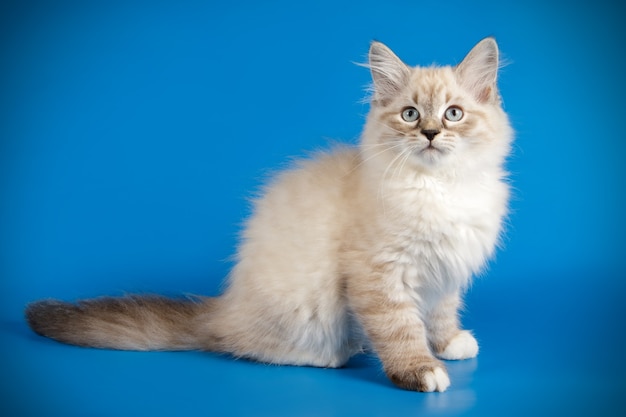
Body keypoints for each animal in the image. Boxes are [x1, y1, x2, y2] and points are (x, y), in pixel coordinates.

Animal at [25, 37, 512, 392]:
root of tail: (223, 307)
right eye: (410, 115)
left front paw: (449, 344)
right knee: (246, 346)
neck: (439, 188)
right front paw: (420, 369)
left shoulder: (445, 273)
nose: (429, 133)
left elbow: (441, 314)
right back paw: (337, 354)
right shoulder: (380, 274)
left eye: (453, 114)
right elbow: (400, 329)